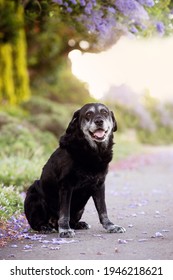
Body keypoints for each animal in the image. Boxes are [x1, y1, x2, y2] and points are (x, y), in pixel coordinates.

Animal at [23, 103, 125, 236]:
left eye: (104, 112)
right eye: (88, 114)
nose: (99, 121)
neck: (91, 152)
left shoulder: (99, 185)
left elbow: (103, 210)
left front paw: (110, 226)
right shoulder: (66, 185)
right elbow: (65, 212)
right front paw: (65, 229)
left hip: (80, 209)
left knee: (72, 221)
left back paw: (79, 224)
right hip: (33, 193)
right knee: (37, 224)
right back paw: (46, 227)